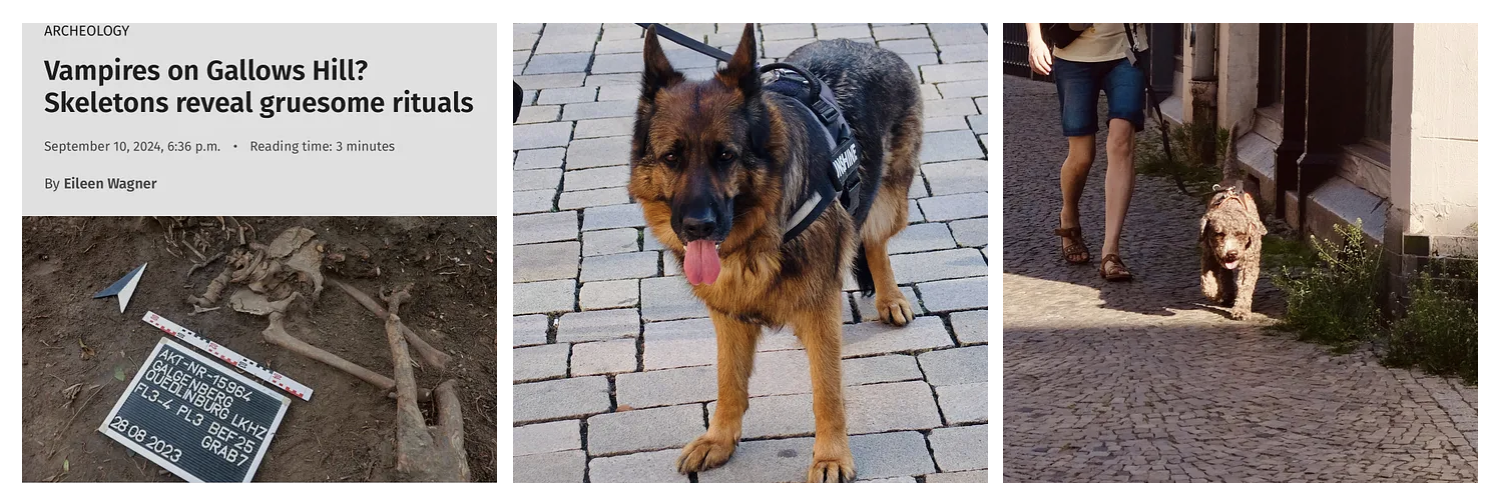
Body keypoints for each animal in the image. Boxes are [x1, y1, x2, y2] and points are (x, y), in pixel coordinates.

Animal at [628, 24, 921, 482]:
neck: (755, 237)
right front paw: (720, 440)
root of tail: (860, 44)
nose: (697, 226)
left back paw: (891, 298)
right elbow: (728, 382)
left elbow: (827, 392)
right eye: (671, 157)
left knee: (874, 238)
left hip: (890, 202)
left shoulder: (820, 309)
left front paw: (830, 456)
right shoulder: (727, 313)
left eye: (726, 155)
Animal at [1200, 124, 1266, 320]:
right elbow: (1208, 277)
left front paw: (1241, 309)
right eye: (1218, 234)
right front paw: (1214, 292)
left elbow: (1245, 285)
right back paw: (1226, 293)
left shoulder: (1250, 259)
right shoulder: (1209, 252)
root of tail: (1234, 177)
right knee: (1224, 274)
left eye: (1241, 234)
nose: (1231, 253)